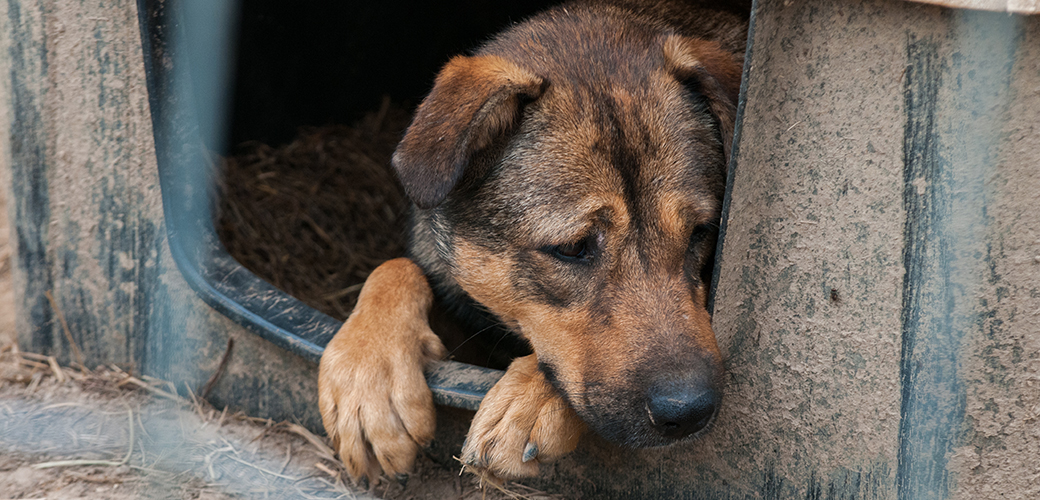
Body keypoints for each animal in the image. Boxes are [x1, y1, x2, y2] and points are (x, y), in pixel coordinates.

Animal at [316, 0, 748, 482]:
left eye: (700, 232)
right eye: (574, 248)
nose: (689, 412)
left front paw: (530, 399)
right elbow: (396, 267)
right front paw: (368, 373)